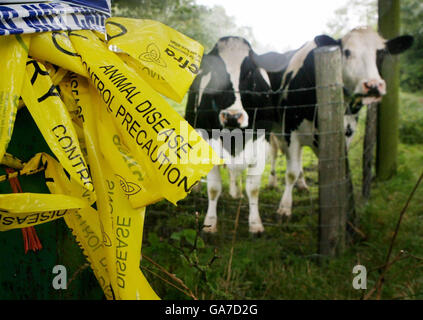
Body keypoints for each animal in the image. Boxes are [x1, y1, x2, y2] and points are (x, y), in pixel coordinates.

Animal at [186, 37, 278, 232]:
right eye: (215, 72)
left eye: (249, 72)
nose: (232, 116)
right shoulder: (210, 143)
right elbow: (214, 188)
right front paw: (210, 224)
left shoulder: (261, 144)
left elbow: (253, 188)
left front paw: (255, 224)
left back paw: (236, 192)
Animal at [245, 26, 414, 218]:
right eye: (346, 51)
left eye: (382, 52)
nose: (373, 85)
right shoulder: (291, 130)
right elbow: (291, 172)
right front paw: (285, 208)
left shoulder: (345, 133)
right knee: (275, 152)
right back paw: (273, 181)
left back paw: (302, 184)